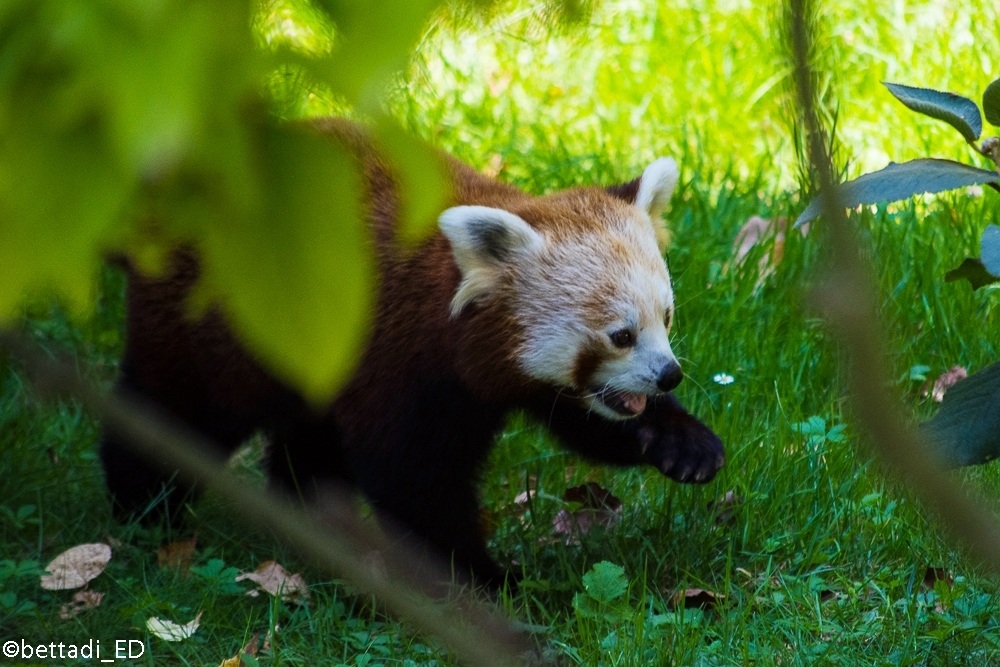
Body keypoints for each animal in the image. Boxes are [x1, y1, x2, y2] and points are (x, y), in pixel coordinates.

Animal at [99, 119, 725, 590]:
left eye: (666, 318)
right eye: (620, 335)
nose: (669, 375)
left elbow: (585, 420)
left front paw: (681, 443)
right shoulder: (399, 360)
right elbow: (413, 483)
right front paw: (484, 580)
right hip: (210, 329)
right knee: (177, 410)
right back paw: (146, 512)